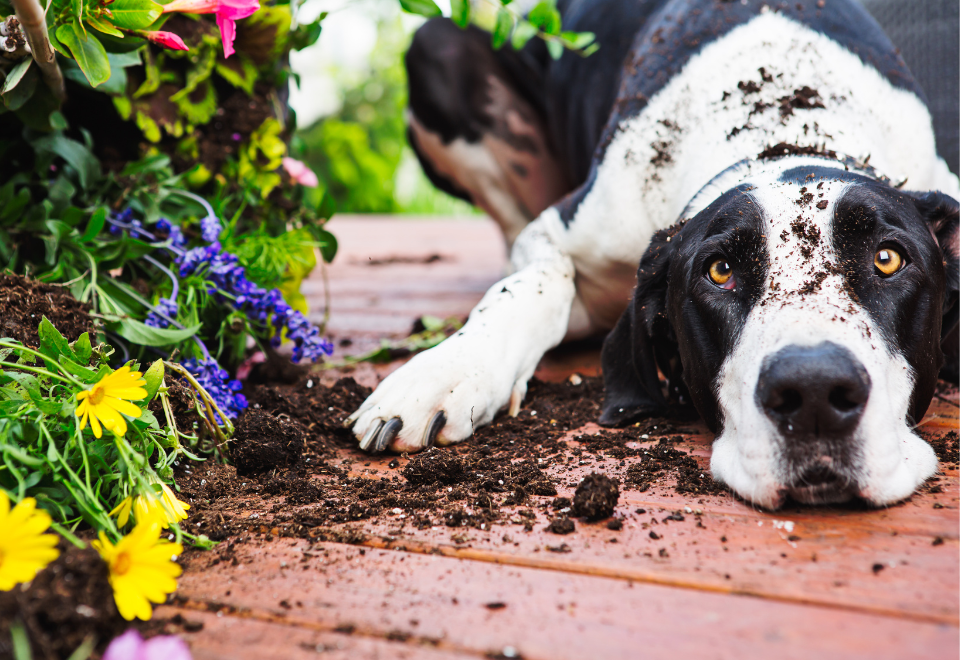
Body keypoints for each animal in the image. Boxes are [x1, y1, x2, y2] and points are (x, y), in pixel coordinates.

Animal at [346, 0, 960, 510]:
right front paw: (446, 372)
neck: (784, 129)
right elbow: (530, 287)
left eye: (888, 259)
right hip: (436, 46)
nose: (813, 393)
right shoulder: (559, 233)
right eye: (720, 271)